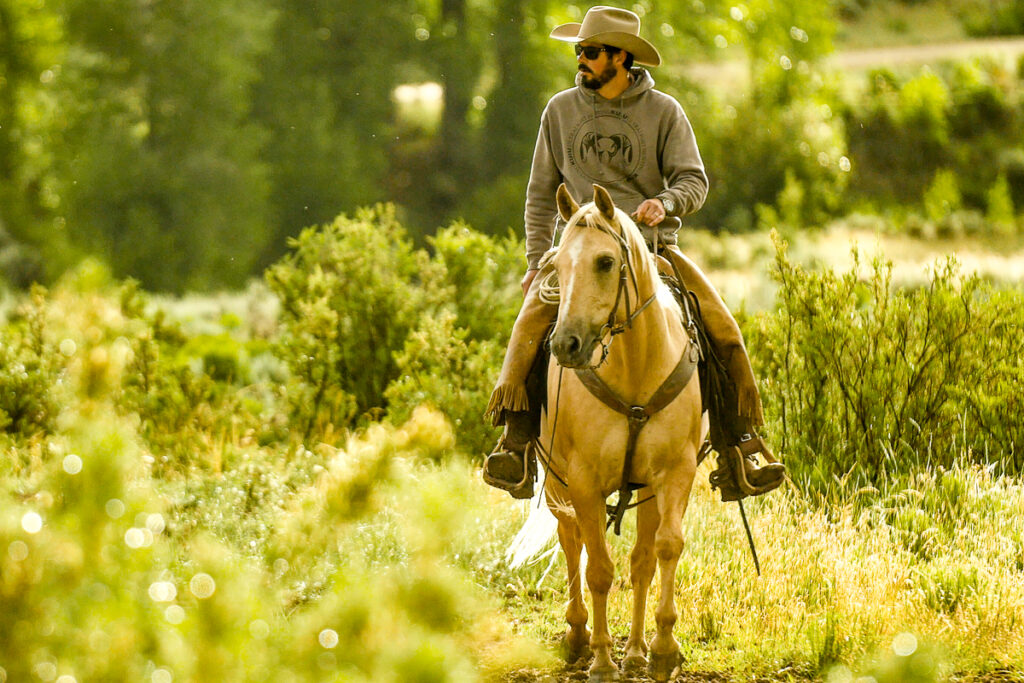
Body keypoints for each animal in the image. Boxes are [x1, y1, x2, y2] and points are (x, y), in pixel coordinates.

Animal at [540, 183, 700, 683]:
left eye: (605, 262)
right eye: (557, 266)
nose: (565, 344)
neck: (635, 366)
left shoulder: (675, 473)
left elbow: (663, 550)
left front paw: (662, 648)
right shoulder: (584, 482)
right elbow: (598, 568)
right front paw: (602, 659)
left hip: (645, 490)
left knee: (641, 560)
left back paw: (635, 650)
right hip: (557, 483)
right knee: (571, 542)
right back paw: (578, 635)